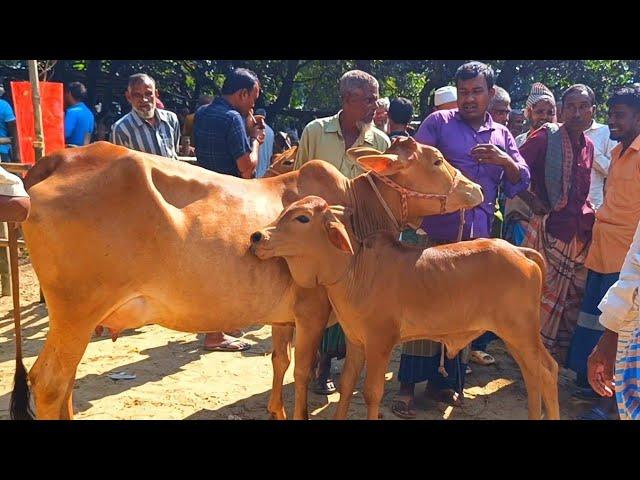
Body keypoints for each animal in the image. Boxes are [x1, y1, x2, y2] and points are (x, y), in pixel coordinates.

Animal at [10, 137, 482, 418]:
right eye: (437, 159)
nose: (476, 189)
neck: (353, 211)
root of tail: (61, 157)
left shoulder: (283, 316)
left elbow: (279, 362)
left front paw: (275, 410)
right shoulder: (313, 311)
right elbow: (302, 372)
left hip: (77, 318)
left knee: (65, 382)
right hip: (76, 310)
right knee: (49, 384)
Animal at [250, 195, 560, 420]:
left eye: (302, 218)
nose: (256, 237)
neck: (355, 269)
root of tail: (521, 251)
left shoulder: (380, 342)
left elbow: (371, 392)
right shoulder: (355, 341)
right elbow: (347, 386)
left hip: (520, 332)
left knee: (545, 371)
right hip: (517, 337)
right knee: (536, 373)